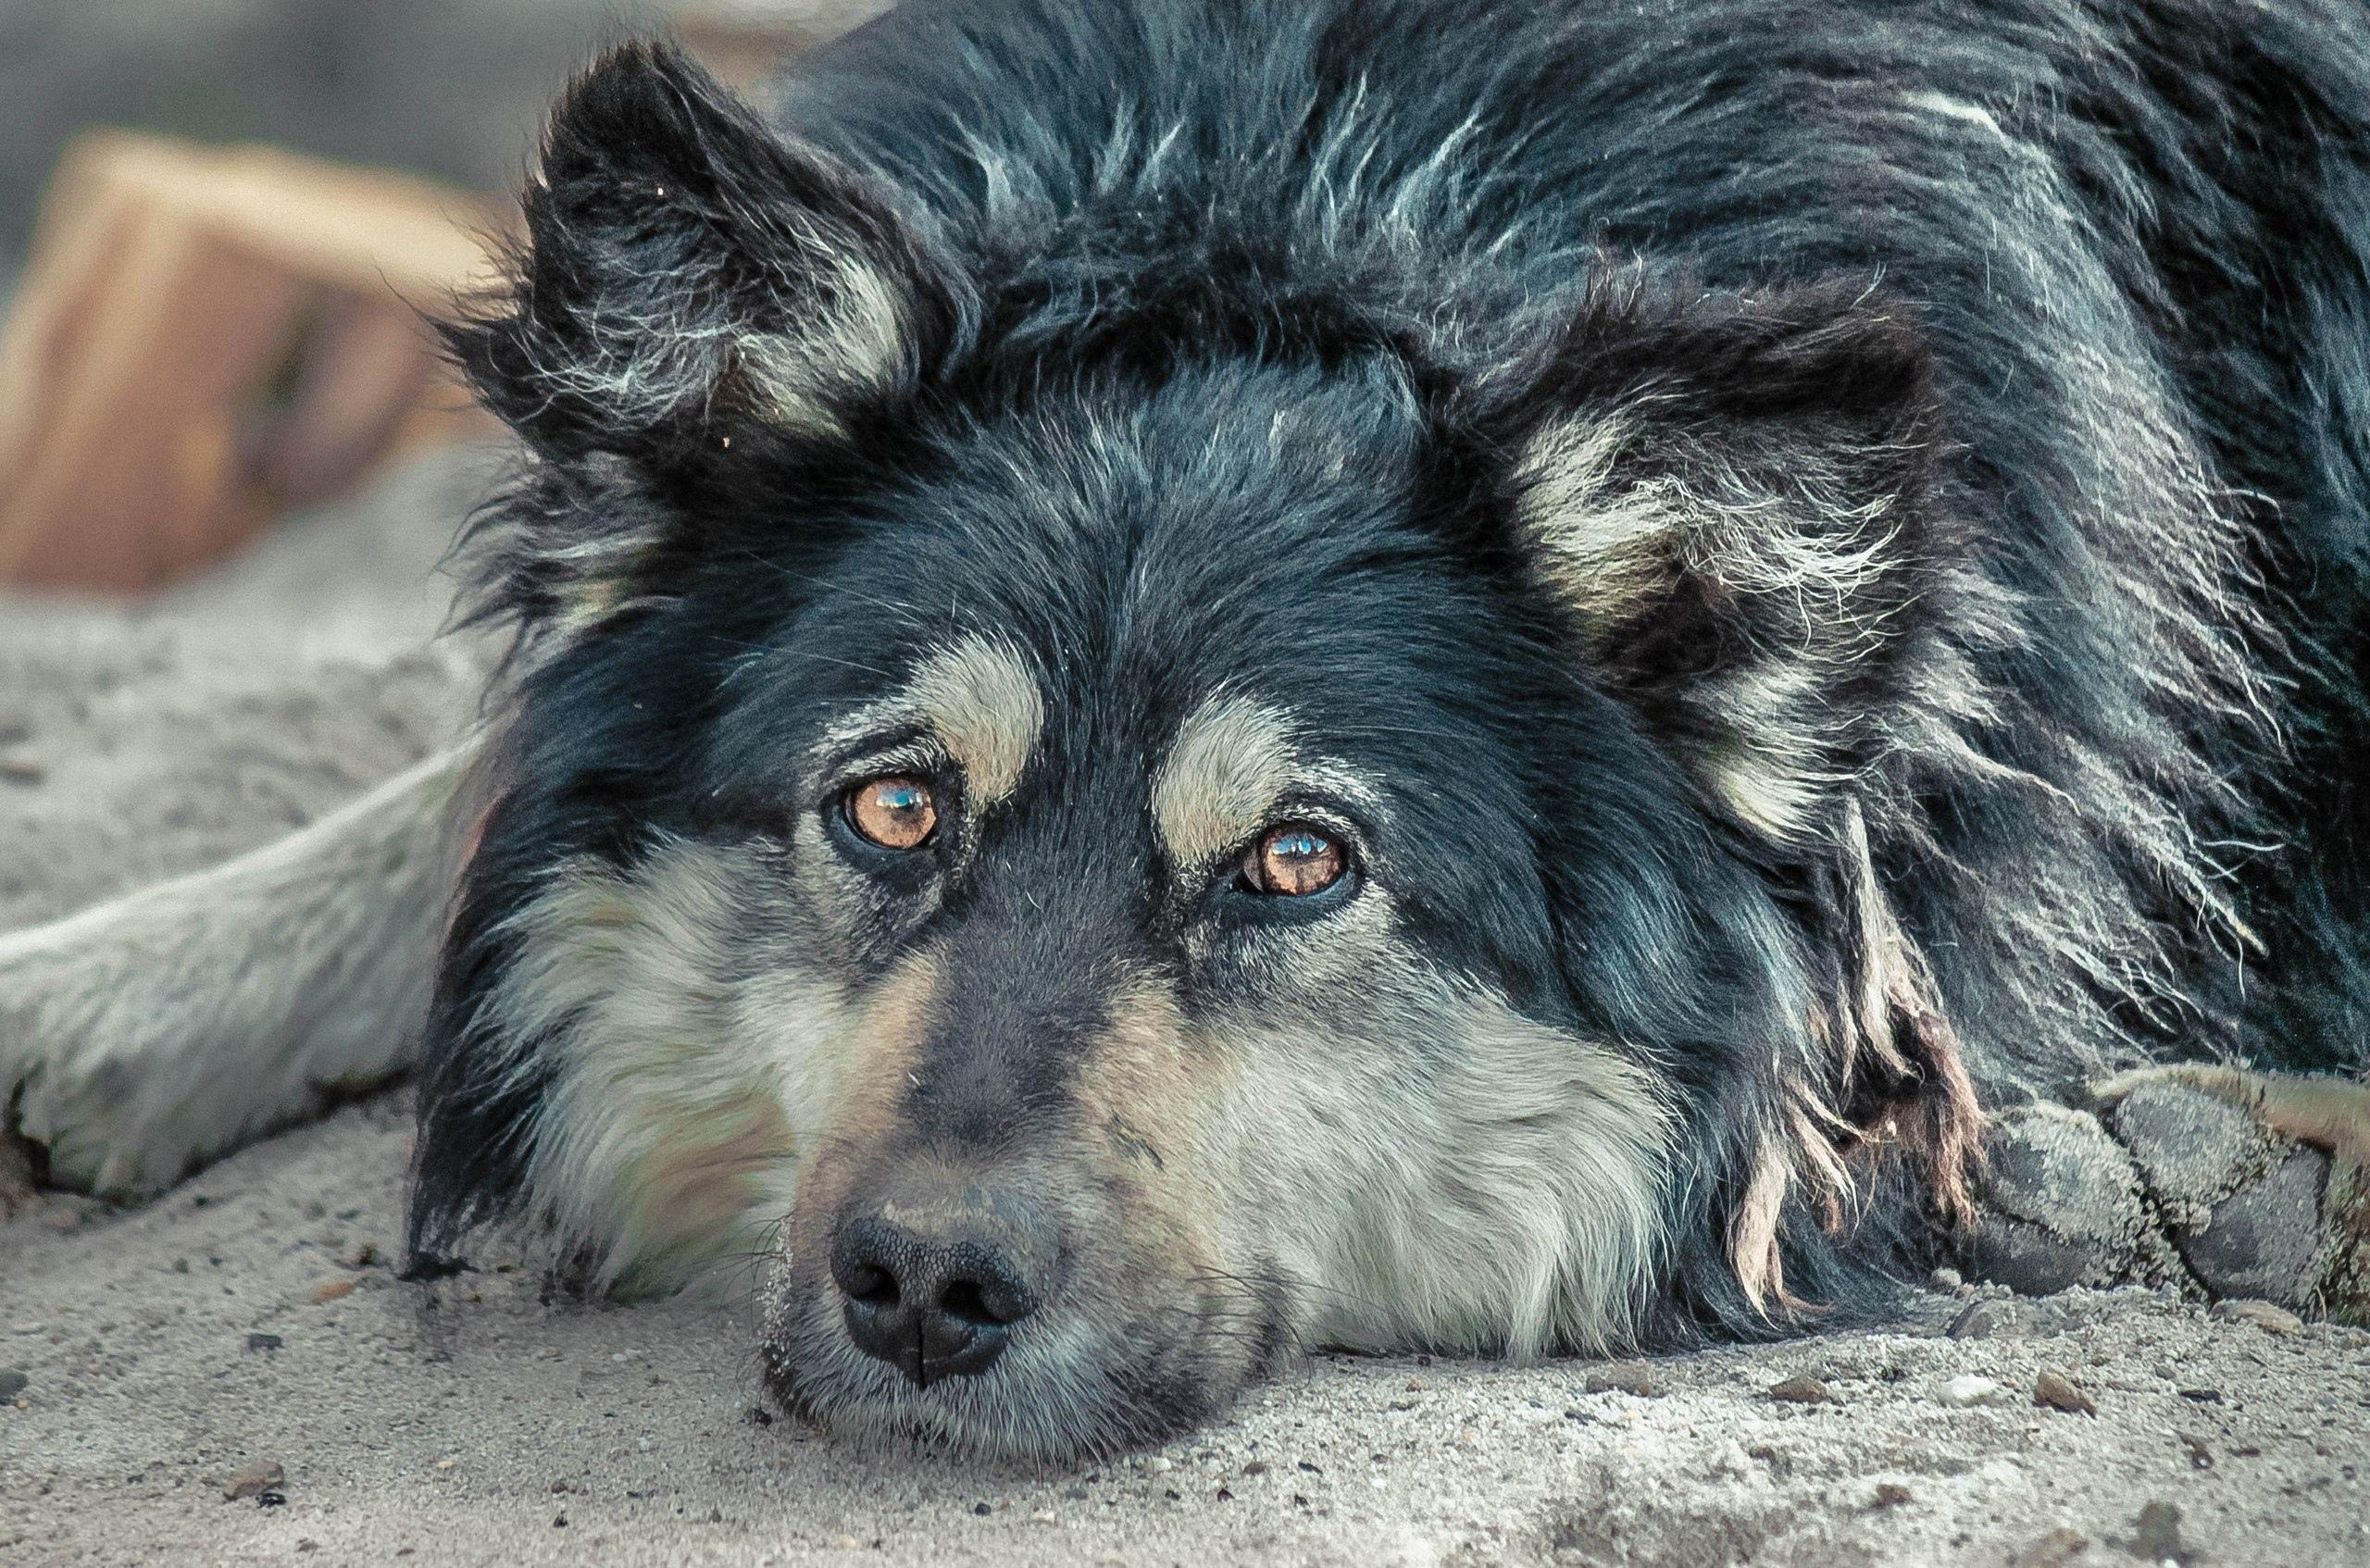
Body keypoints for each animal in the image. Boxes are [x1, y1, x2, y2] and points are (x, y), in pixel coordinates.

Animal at [5, 0, 2370, 1468]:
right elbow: (464, 776)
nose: (922, 1290)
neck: (1302, 192)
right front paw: (125, 975)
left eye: (1298, 863)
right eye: (889, 808)